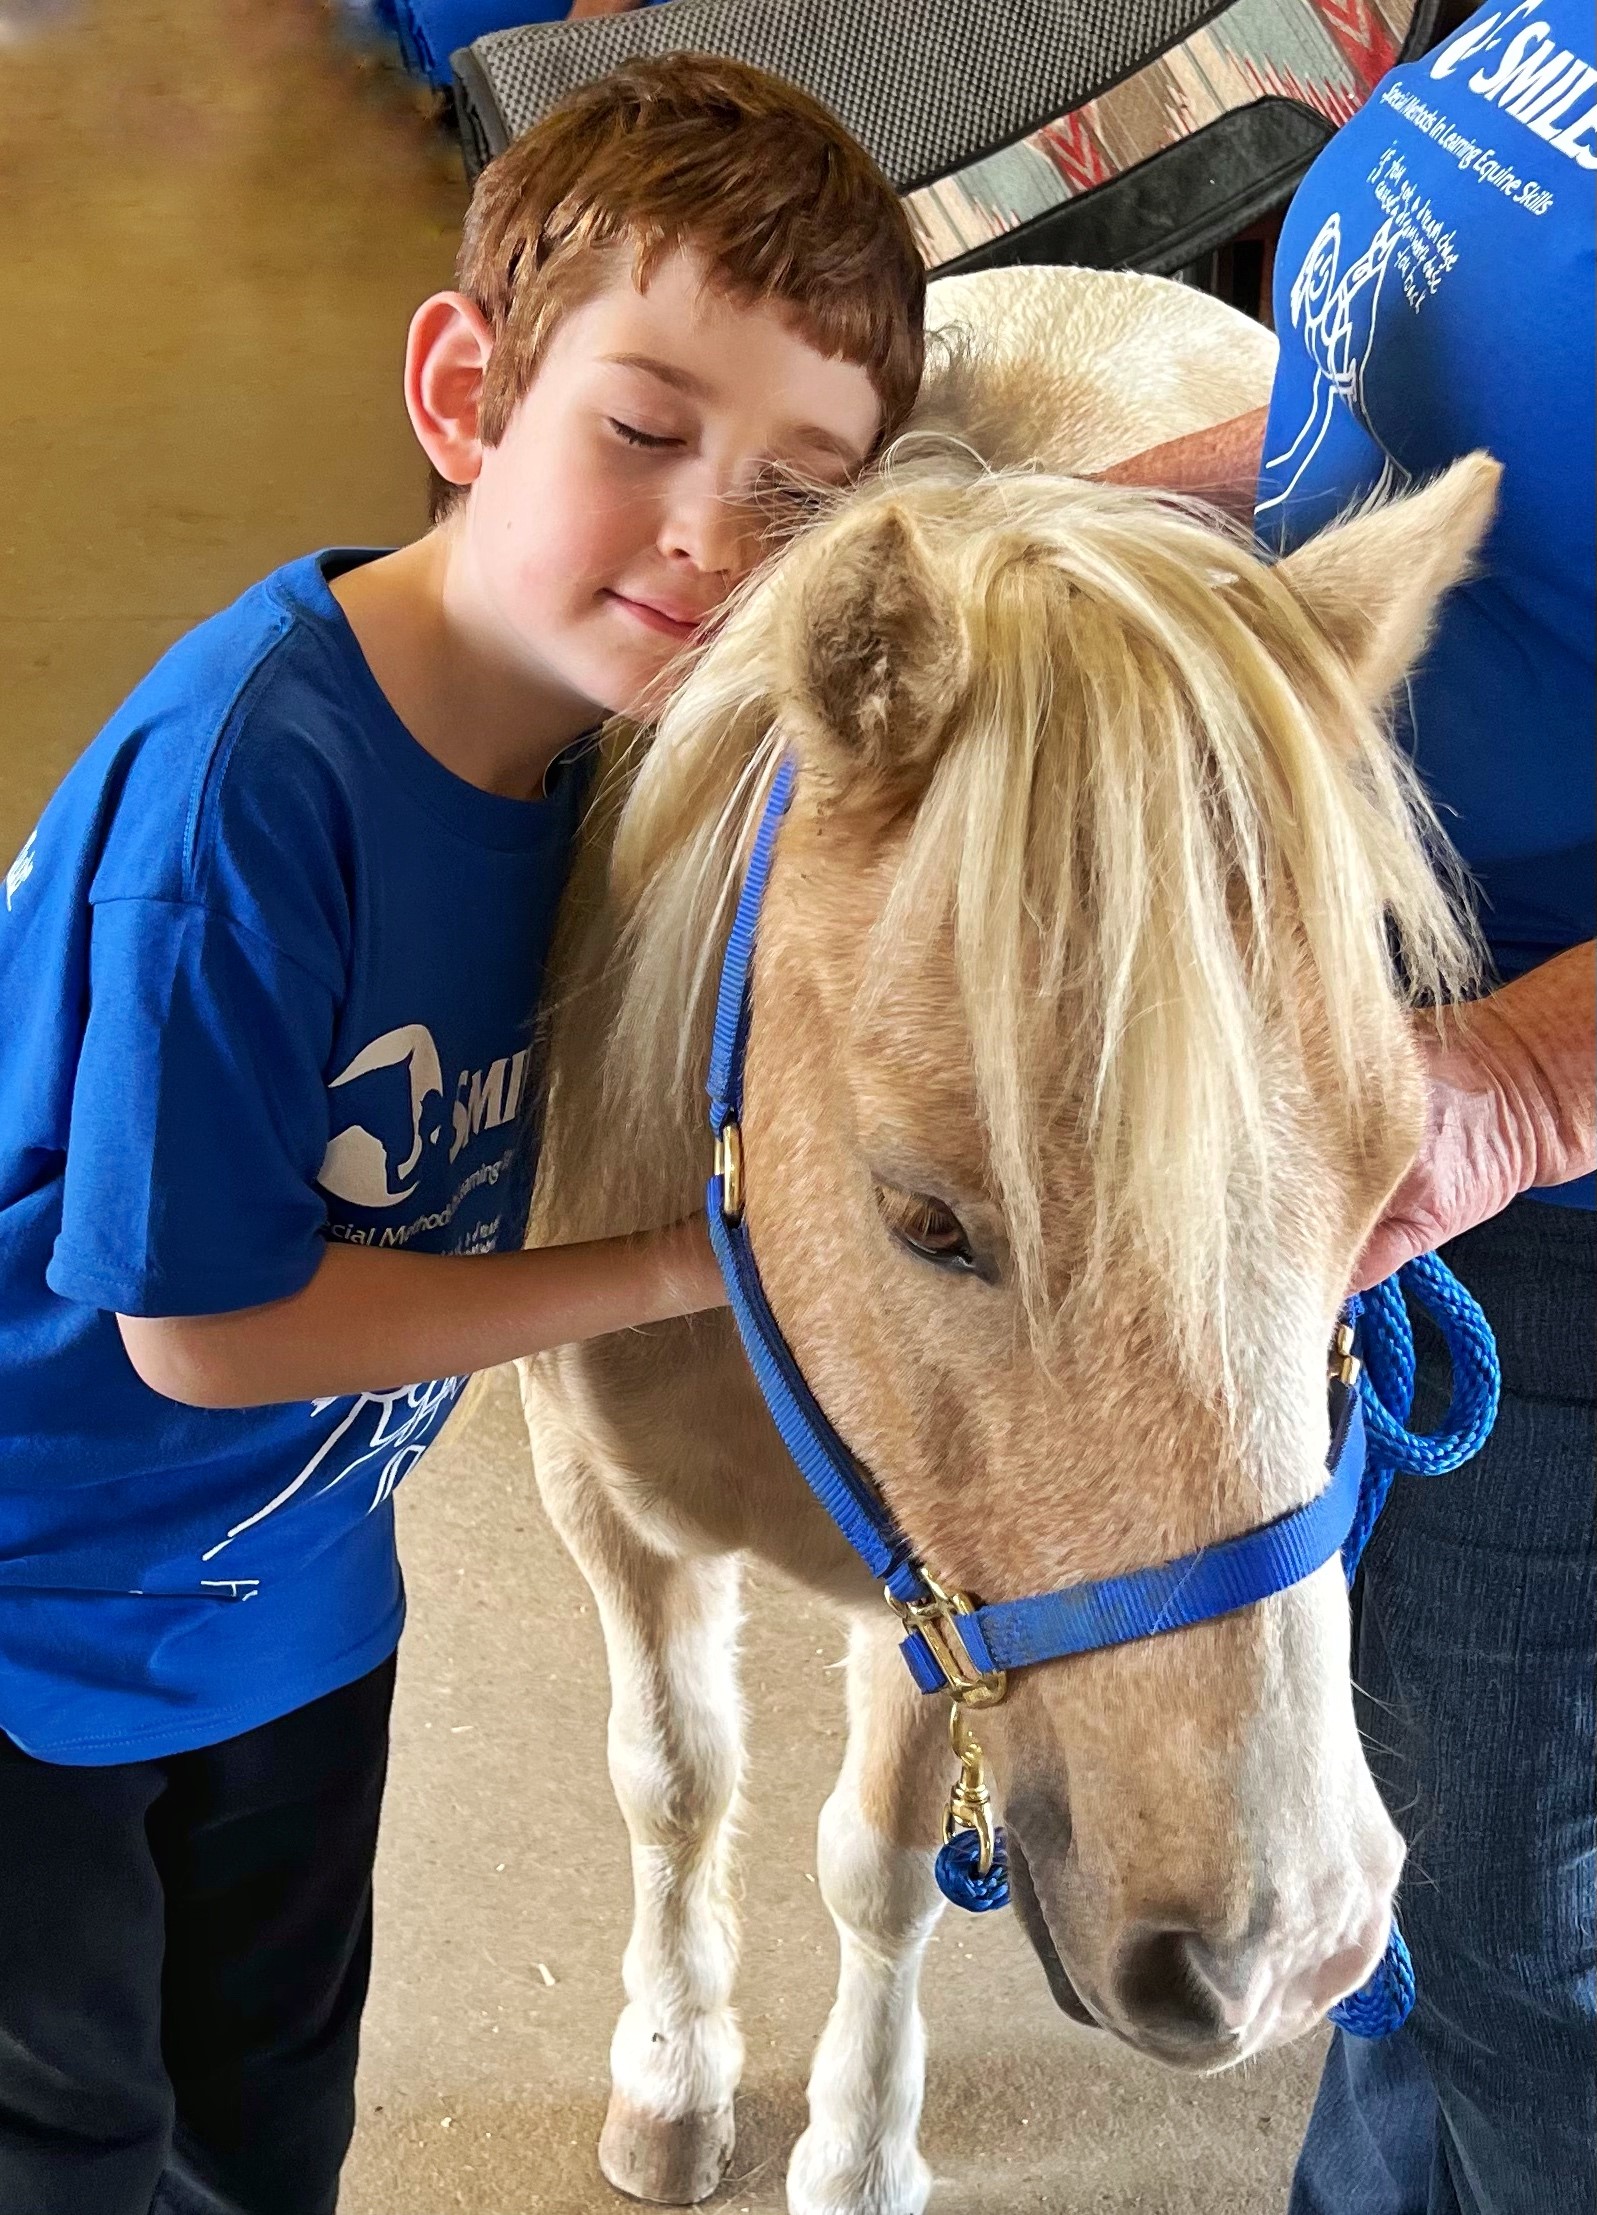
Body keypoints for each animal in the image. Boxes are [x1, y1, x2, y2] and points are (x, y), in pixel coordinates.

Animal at [515, 265, 1498, 2215]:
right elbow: (669, 1777)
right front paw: (670, 2068)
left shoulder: (933, 1591)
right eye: (924, 1218)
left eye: (1384, 1193)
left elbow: (880, 1865)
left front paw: (855, 2153)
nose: (1296, 1954)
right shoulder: (601, 1495)